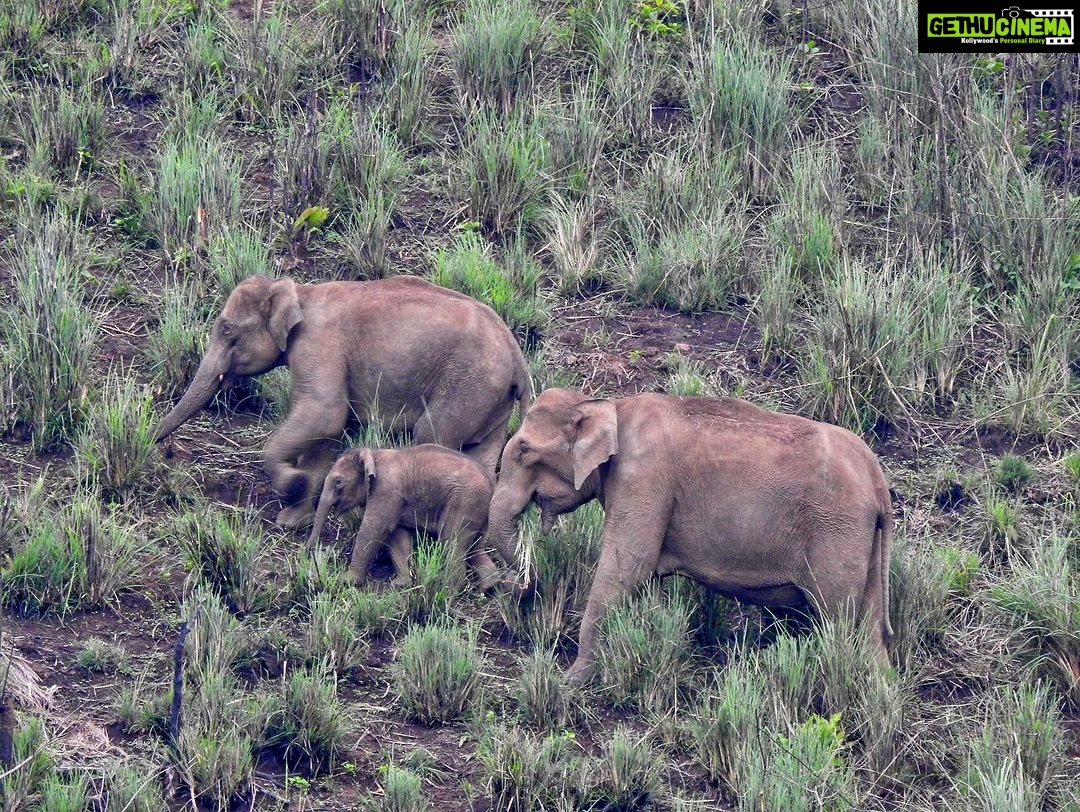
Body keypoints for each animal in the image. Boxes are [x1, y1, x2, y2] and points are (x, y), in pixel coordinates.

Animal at [153, 275, 532, 528]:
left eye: (228, 329)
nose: (162, 447)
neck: (299, 292)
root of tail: (518, 357)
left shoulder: (318, 346)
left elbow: (324, 414)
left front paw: (293, 484)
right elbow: (329, 432)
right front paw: (293, 518)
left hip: (467, 387)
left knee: (431, 434)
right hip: (491, 403)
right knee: (482, 457)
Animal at [306, 444, 501, 589]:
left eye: (338, 482)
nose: (307, 554)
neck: (373, 454)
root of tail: (492, 483)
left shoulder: (385, 490)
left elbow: (374, 529)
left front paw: (346, 580)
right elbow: (397, 535)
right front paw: (401, 584)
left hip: (464, 501)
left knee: (451, 541)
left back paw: (448, 588)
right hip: (476, 508)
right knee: (473, 546)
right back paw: (490, 586)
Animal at [486, 388, 894, 685]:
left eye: (524, 450)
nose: (528, 585)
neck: (608, 405)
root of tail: (879, 481)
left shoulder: (644, 479)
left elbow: (627, 569)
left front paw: (571, 681)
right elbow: (644, 580)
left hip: (837, 532)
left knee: (838, 620)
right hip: (862, 540)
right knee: (869, 628)